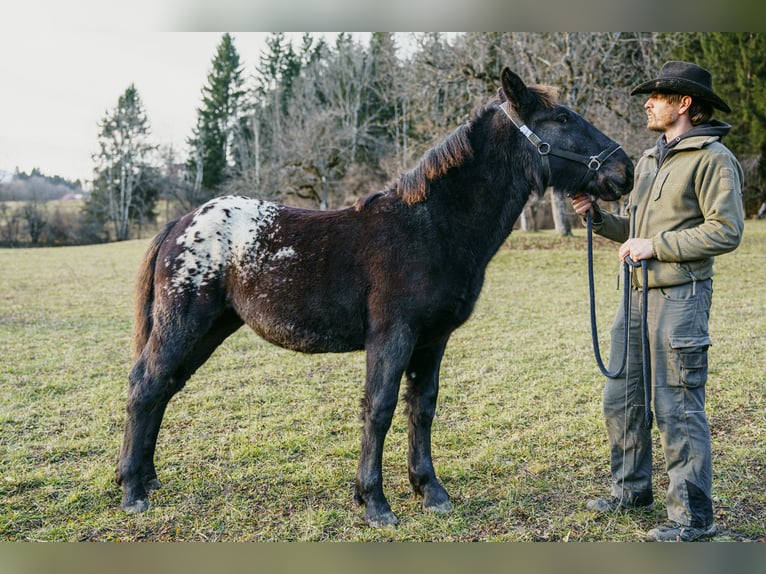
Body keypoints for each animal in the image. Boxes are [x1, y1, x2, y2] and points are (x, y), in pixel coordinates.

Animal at [115, 66, 636, 528]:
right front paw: (375, 503)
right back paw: (133, 492)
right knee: (146, 386)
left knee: (163, 388)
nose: (624, 169)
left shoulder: (433, 340)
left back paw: (147, 478)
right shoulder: (393, 335)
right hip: (185, 325)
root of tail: (180, 223)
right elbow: (379, 408)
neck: (431, 226)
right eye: (562, 118)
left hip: (211, 328)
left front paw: (431, 492)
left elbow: (421, 407)